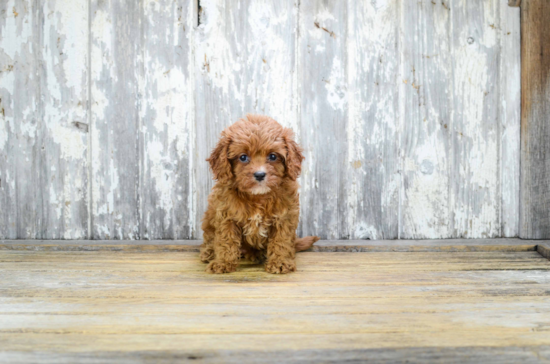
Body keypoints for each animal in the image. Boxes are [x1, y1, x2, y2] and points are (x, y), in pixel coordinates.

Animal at [199, 114, 320, 272]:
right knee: (210, 238)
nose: (260, 174)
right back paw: (209, 253)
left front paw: (280, 262)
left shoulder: (284, 216)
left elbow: (281, 240)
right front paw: (223, 263)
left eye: (273, 156)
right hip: (209, 217)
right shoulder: (226, 215)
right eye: (243, 157)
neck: (258, 196)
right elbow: (226, 240)